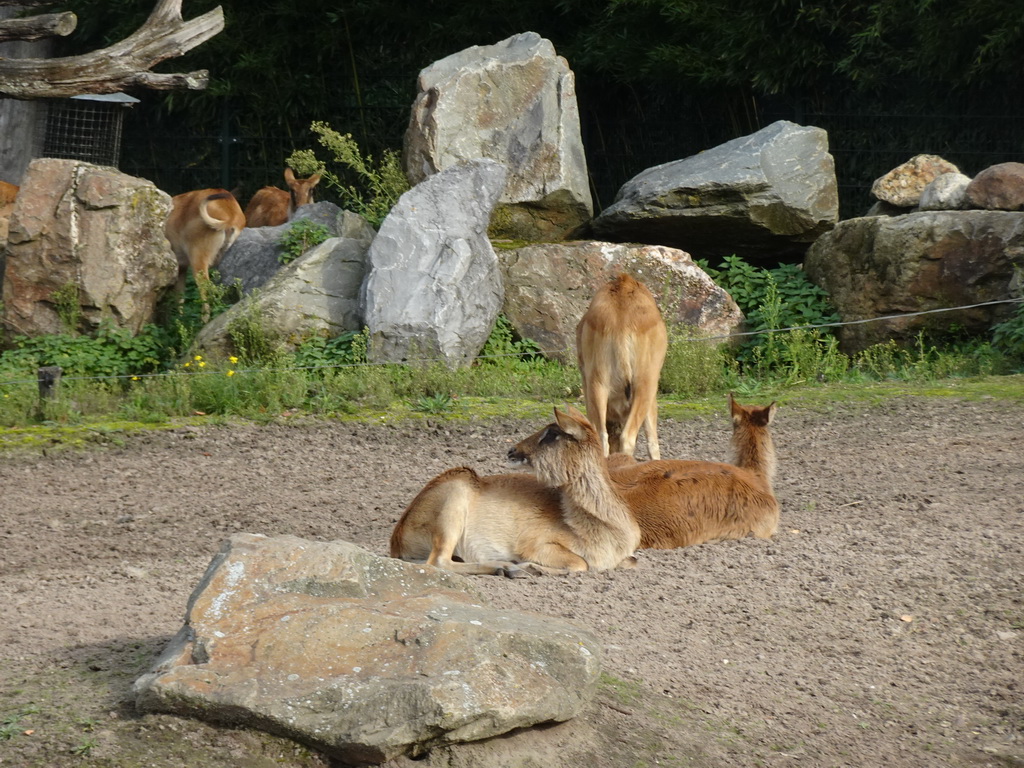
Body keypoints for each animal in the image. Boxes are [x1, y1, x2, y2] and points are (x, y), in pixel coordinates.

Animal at [389, 409, 638, 577]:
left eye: (552, 432)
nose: (512, 450)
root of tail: (396, 540)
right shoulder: (537, 545)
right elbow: (580, 564)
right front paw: (528, 567)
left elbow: (630, 561)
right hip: (456, 498)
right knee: (438, 561)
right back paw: (506, 567)